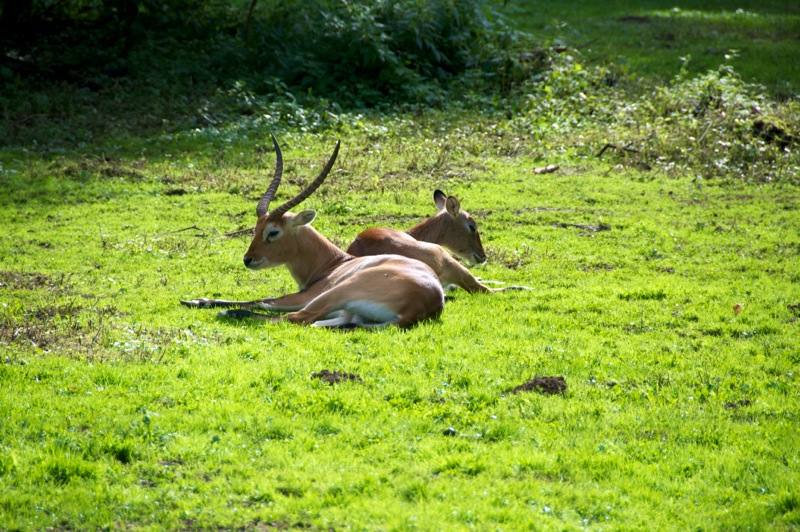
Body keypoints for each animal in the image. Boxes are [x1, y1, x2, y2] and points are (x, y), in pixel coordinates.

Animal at [181, 135, 445, 328]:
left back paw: (229, 313)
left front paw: (198, 300)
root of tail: (423, 303)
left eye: (273, 232)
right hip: (346, 313)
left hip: (335, 294)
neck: (333, 264)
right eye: (256, 229)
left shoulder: (305, 295)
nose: (248, 259)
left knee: (295, 318)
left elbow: (265, 301)